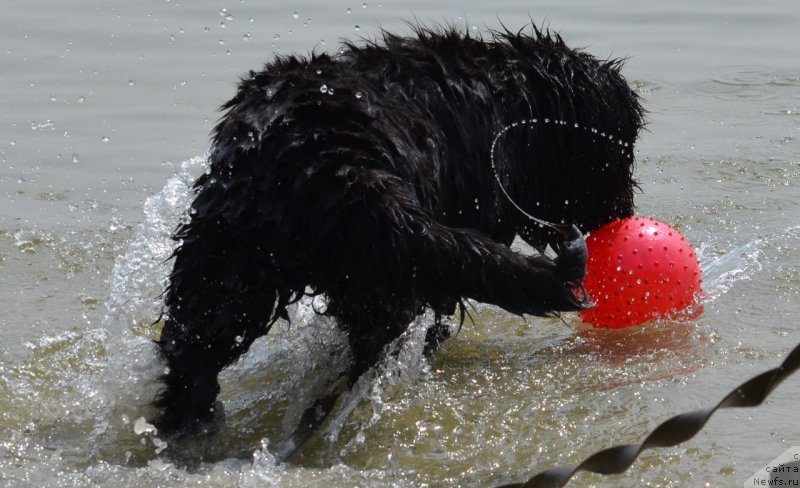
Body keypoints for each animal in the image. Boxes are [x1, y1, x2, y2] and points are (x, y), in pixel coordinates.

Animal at [155, 24, 644, 460]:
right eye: (618, 151)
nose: (624, 214)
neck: (509, 101)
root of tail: (330, 154)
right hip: (383, 274)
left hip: (221, 262)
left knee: (192, 353)